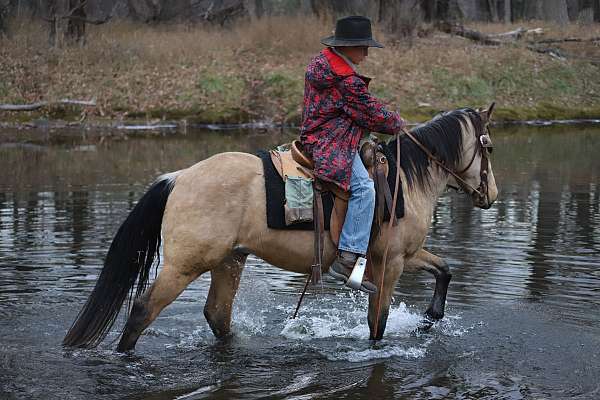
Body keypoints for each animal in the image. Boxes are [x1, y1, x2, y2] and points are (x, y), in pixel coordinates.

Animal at [63, 104, 500, 352]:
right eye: (489, 147)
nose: (491, 195)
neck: (404, 181)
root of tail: (180, 177)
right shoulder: (389, 262)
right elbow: (378, 323)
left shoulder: (404, 255)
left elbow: (445, 269)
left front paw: (430, 318)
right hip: (186, 264)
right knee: (142, 311)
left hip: (230, 260)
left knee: (217, 315)